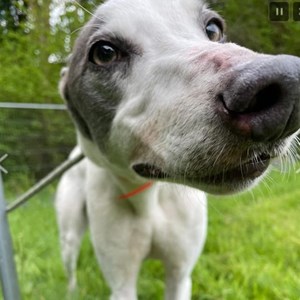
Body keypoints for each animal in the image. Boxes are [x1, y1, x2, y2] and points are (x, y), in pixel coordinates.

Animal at [54, 1, 300, 298]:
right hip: (69, 234)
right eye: (104, 52)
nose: (287, 86)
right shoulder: (122, 284)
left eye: (213, 28)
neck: (148, 194)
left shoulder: (181, 274)